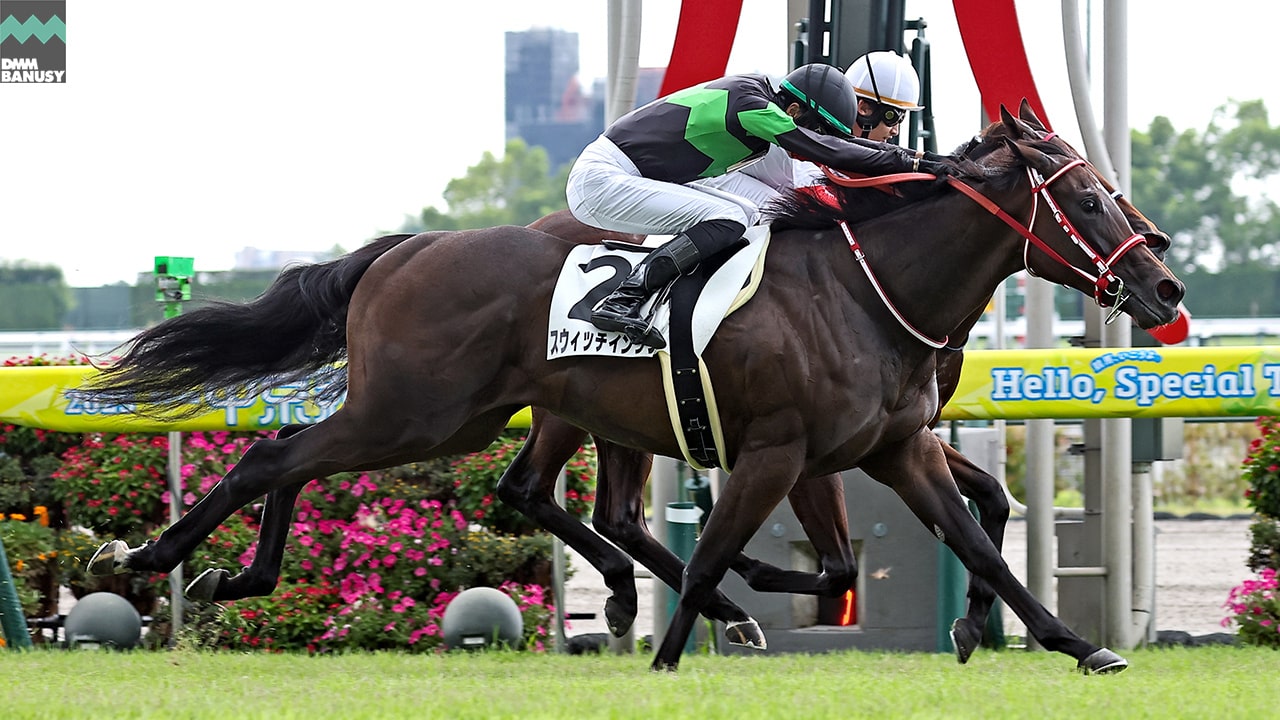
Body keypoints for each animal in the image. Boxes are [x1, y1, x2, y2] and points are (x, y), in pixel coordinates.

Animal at [81, 104, 1183, 672]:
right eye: (1089, 199)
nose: (1163, 284)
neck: (870, 288)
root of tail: (404, 250)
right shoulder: (780, 450)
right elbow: (722, 558)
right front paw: (683, 644)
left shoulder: (884, 447)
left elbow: (963, 539)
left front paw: (1071, 644)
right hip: (420, 413)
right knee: (279, 455)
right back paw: (154, 555)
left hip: (496, 414)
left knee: (368, 471)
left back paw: (230, 576)